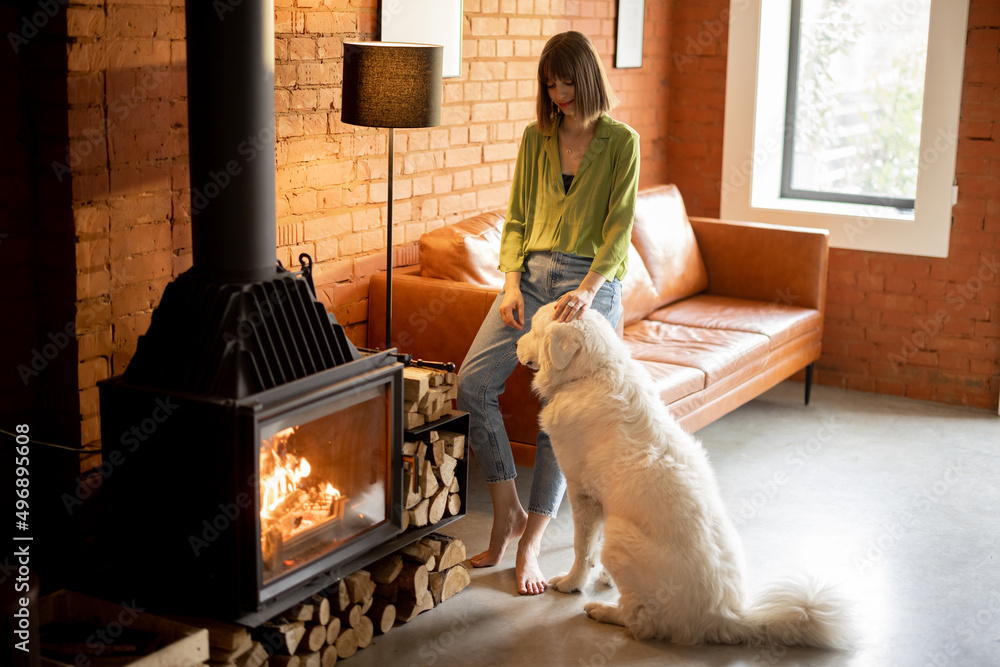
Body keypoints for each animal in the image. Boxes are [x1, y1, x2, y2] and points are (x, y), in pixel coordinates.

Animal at [516, 306, 852, 648]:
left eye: (533, 329)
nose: (515, 343)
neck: (592, 372)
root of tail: (726, 616)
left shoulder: (582, 492)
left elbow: (582, 548)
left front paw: (571, 583)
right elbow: (590, 547)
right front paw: (605, 578)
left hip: (620, 536)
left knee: (643, 623)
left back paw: (604, 611)